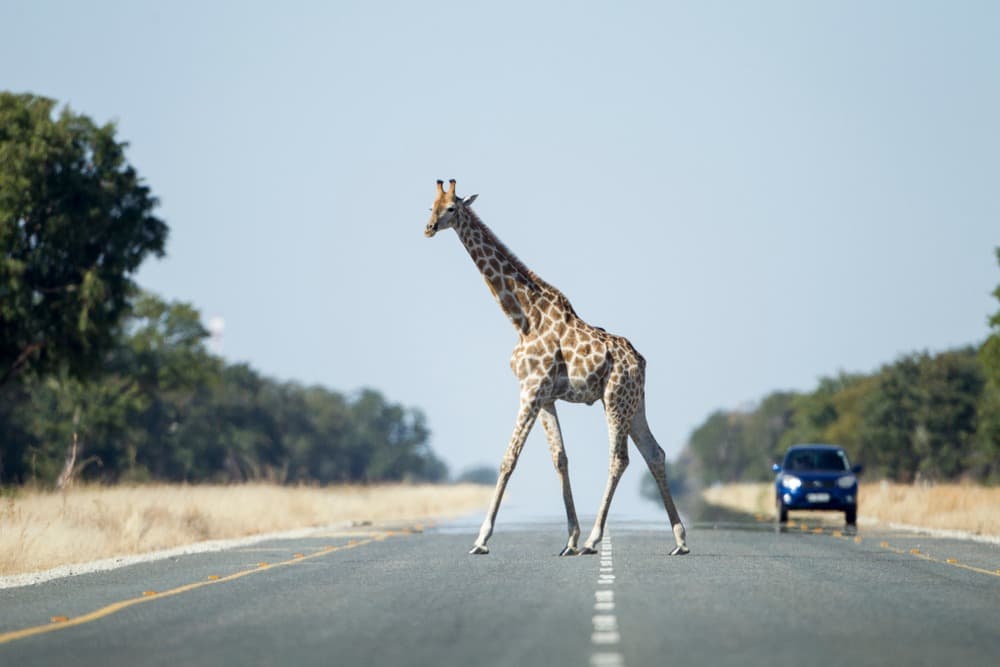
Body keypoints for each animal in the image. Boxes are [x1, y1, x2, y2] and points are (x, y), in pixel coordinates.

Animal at [425, 179, 689, 557]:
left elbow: (509, 458)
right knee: (655, 453)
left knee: (619, 458)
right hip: (634, 403)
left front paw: (481, 539)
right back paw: (679, 540)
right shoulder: (546, 396)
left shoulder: (530, 389)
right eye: (430, 206)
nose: (429, 228)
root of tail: (640, 361)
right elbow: (560, 458)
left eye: (451, 208)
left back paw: (595, 539)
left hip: (615, 398)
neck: (523, 318)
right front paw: (570, 539)